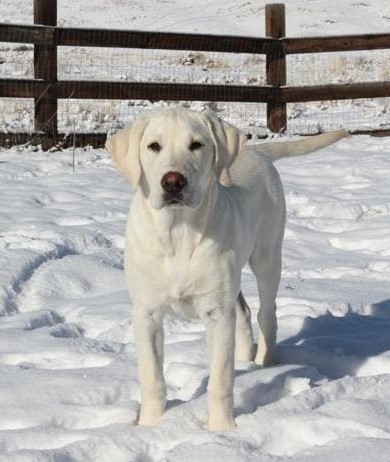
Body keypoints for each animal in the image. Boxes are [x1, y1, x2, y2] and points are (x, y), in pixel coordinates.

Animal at [107, 107, 348, 430]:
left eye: (196, 145)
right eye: (153, 146)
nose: (173, 182)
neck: (178, 233)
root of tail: (257, 151)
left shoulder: (217, 316)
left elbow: (220, 380)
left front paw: (222, 430)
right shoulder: (146, 313)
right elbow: (152, 377)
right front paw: (150, 425)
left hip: (267, 256)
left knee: (266, 313)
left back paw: (264, 363)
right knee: (244, 311)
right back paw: (246, 359)